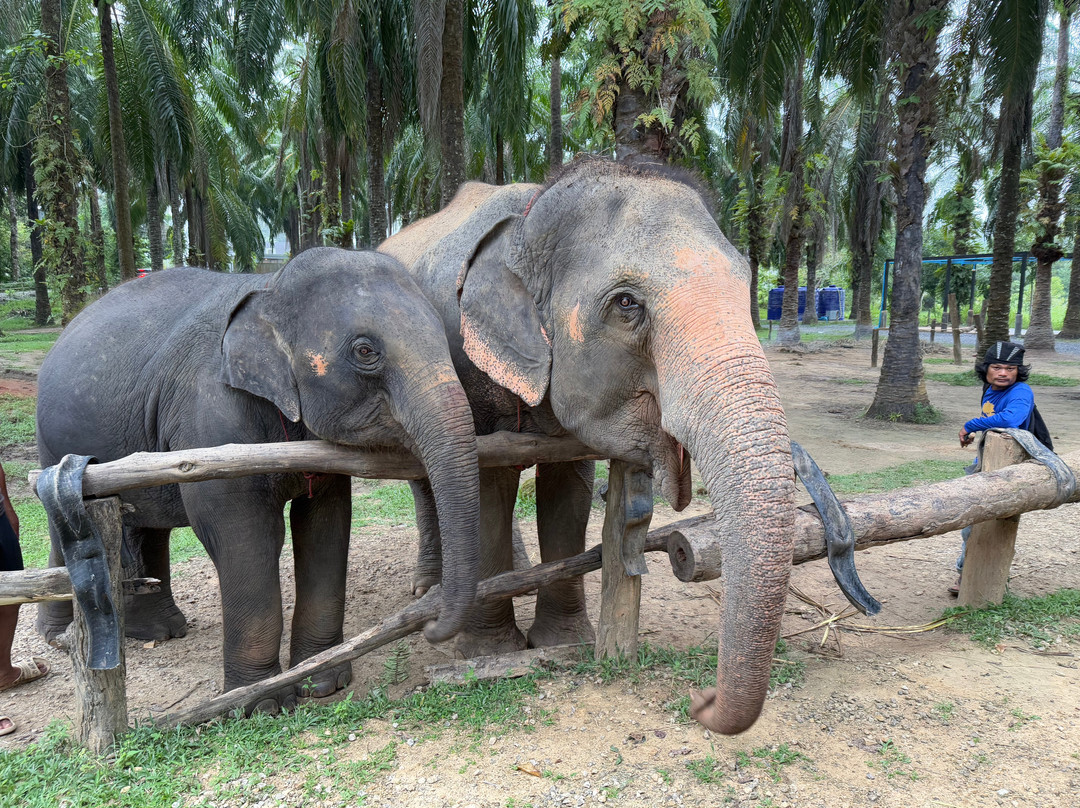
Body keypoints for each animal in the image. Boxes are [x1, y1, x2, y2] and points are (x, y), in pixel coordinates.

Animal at [34, 247, 480, 712]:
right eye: (364, 351)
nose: (429, 624)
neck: (271, 288)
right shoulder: (211, 417)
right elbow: (243, 536)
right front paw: (261, 704)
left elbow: (325, 526)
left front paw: (322, 683)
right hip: (56, 447)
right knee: (68, 520)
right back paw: (61, 638)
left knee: (146, 521)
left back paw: (161, 632)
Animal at [380, 157, 796, 735]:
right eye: (626, 304)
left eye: (746, 284)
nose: (701, 699)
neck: (530, 217)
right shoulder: (463, 369)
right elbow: (488, 484)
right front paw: (486, 651)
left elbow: (567, 493)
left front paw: (564, 641)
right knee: (424, 481)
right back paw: (429, 591)